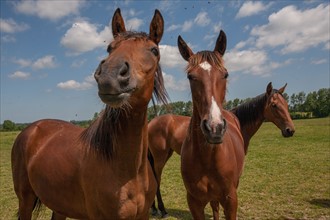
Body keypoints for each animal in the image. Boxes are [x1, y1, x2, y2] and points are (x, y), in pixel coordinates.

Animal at [10, 7, 168, 219]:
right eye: (110, 47)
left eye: (154, 50)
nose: (110, 74)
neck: (128, 173)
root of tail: (31, 129)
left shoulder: (142, 215)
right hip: (25, 199)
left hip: (59, 205)